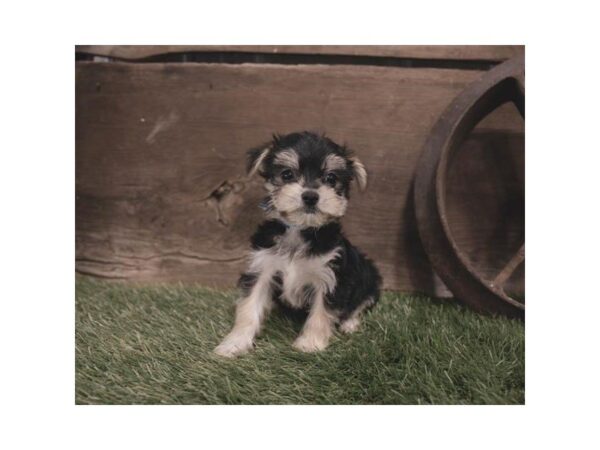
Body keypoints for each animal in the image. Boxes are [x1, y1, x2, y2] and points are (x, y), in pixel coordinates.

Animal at [214, 132, 380, 356]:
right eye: (287, 174)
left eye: (331, 178)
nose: (310, 196)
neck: (300, 230)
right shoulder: (262, 267)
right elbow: (249, 306)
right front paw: (234, 343)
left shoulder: (330, 276)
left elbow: (321, 313)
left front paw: (310, 344)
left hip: (368, 276)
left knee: (361, 302)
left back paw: (349, 323)